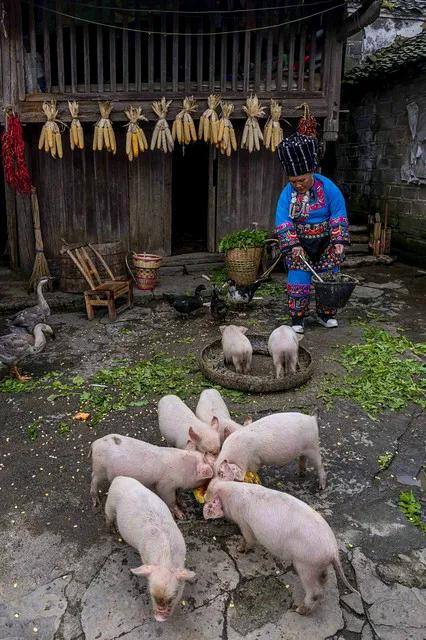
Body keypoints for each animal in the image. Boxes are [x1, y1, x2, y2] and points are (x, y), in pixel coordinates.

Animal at [105, 478, 196, 624]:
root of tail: (118, 478)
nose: (159, 618)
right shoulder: (144, 555)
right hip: (110, 505)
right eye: (152, 595)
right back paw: (112, 532)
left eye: (173, 597)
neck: (165, 558)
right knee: (108, 518)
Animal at [203, 480, 356, 616]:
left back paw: (299, 610)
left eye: (208, 496)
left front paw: (239, 549)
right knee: (323, 579)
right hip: (316, 566)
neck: (229, 495)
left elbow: (248, 538)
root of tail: (333, 551)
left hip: (306, 565)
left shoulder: (244, 523)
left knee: (315, 592)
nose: (203, 499)